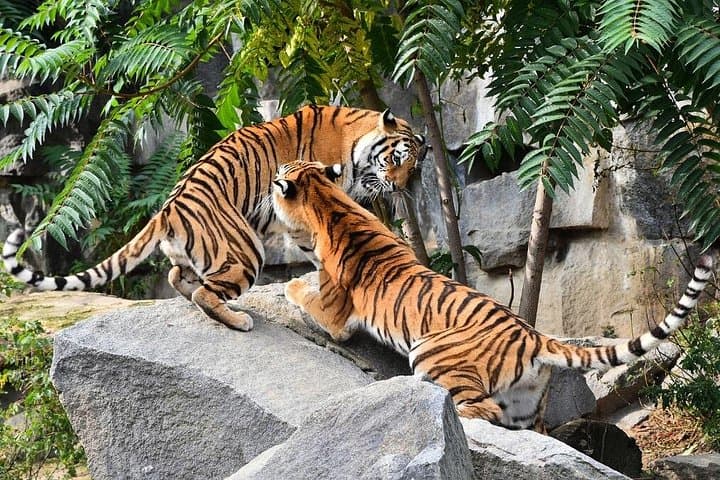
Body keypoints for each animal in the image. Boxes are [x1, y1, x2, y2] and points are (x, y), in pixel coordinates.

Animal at [1, 105, 425, 331]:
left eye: (414, 167)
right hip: (245, 251)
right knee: (205, 291)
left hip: (202, 254)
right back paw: (239, 320)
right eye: (398, 158)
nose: (401, 186)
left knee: (180, 278)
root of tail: (166, 209)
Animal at [271, 160, 714, 431]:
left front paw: (288, 286)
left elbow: (301, 291)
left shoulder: (336, 316)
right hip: (527, 406)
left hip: (430, 352)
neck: (326, 200)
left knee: (480, 408)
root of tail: (536, 337)